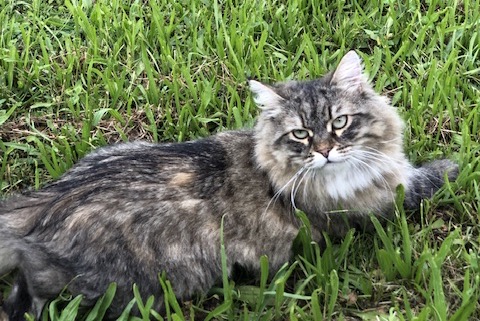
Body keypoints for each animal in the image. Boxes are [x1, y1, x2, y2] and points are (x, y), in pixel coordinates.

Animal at [0, 50, 458, 318]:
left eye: (339, 123)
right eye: (301, 135)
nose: (327, 150)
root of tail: (49, 200)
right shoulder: (379, 202)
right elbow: (426, 180)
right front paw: (458, 165)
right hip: (131, 284)